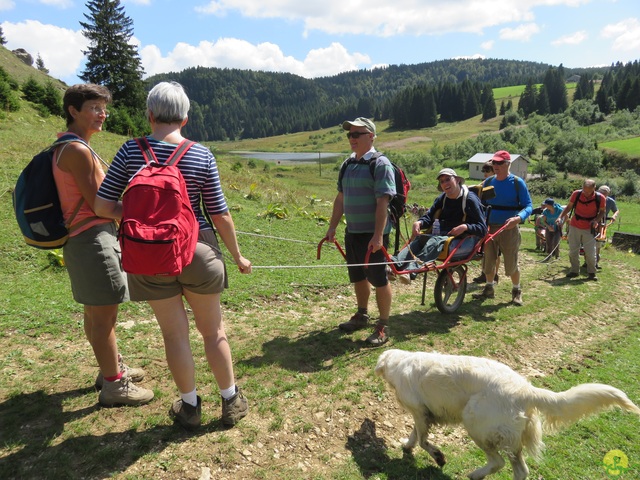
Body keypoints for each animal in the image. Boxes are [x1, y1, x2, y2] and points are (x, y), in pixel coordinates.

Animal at [376, 348, 640, 480]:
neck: (400, 361)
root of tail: (526, 390)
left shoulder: (420, 411)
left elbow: (423, 440)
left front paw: (437, 456)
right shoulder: (421, 413)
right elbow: (415, 435)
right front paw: (406, 445)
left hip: (475, 422)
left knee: (497, 462)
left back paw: (476, 474)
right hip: (511, 440)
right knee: (521, 471)